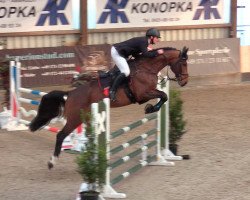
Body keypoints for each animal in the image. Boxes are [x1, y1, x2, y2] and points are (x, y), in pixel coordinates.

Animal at [28, 45, 189, 169]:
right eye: (183, 63)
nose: (184, 82)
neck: (147, 68)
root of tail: (70, 94)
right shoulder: (142, 94)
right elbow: (164, 95)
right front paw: (150, 108)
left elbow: (163, 96)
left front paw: (150, 108)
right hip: (75, 119)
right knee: (61, 135)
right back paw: (52, 162)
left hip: (85, 118)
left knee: (88, 136)